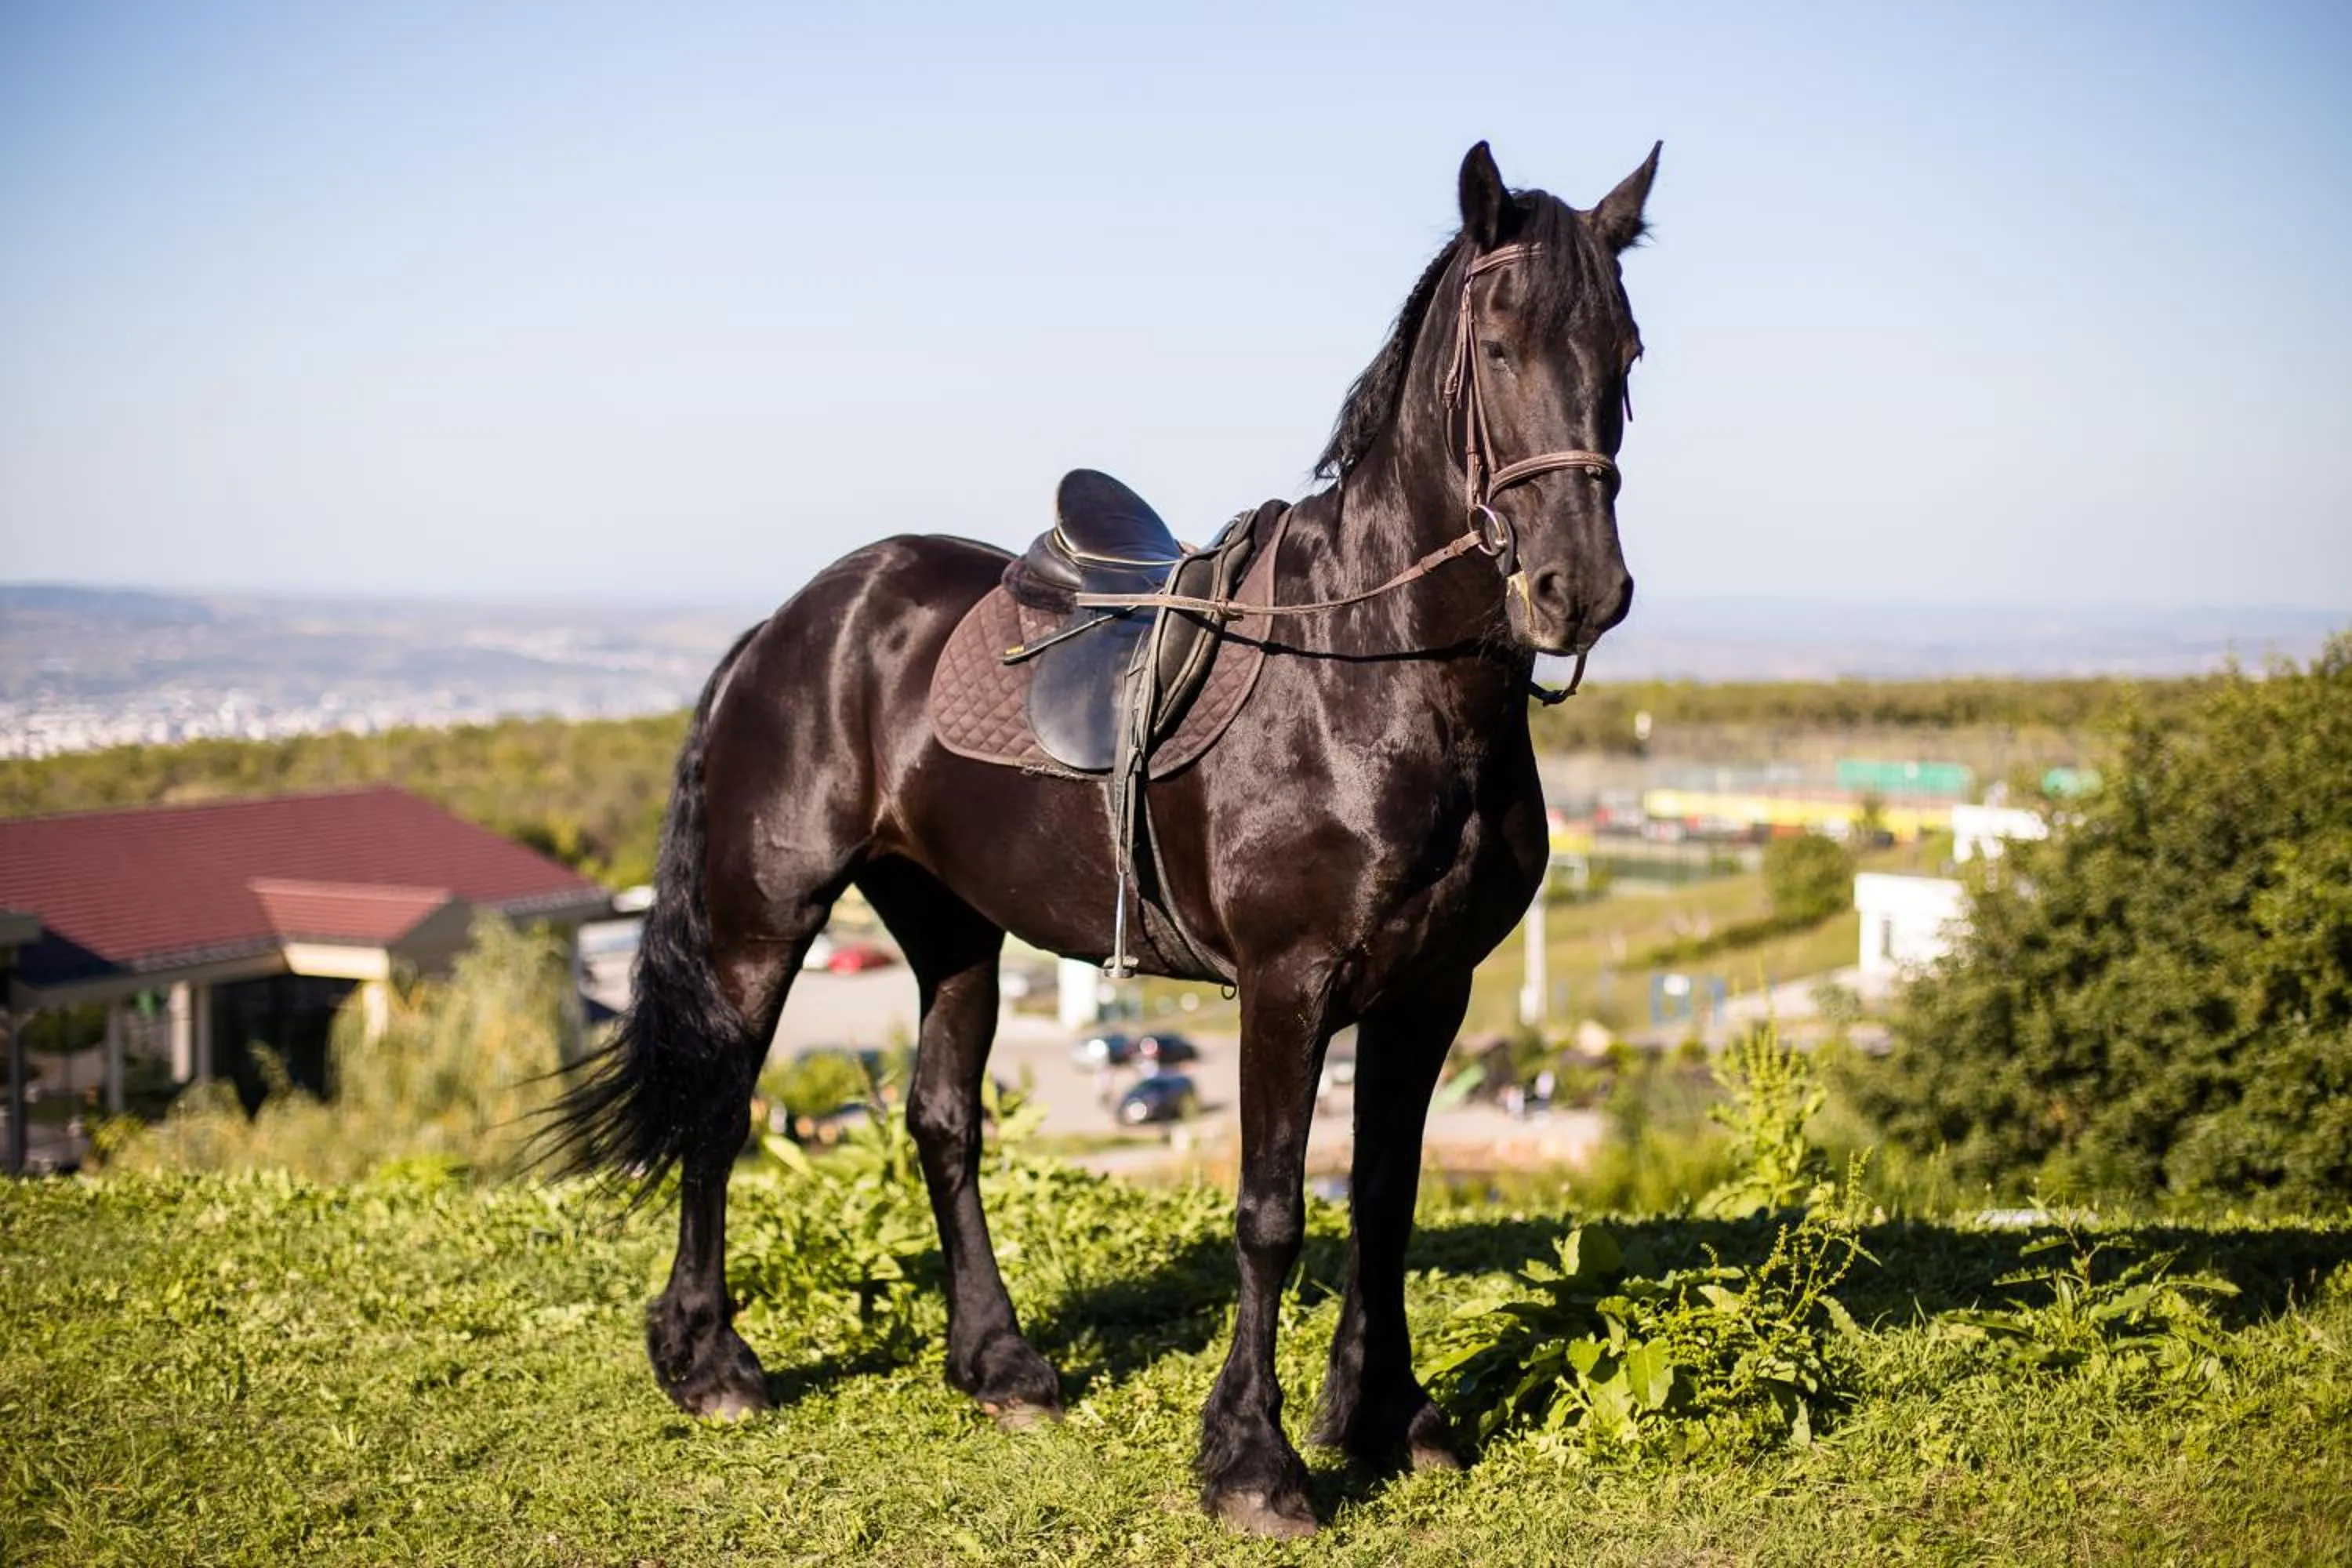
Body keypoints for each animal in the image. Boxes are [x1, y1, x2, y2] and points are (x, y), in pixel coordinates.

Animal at [557, 139, 1659, 1539]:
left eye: (1626, 354)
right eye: (1503, 347)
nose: (1582, 589)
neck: (1371, 676)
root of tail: (794, 623)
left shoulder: (1432, 991)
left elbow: (1389, 1200)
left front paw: (1389, 1417)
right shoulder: (1289, 988)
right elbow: (1271, 1213)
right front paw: (1255, 1464)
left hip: (952, 927)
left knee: (943, 1122)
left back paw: (1001, 1366)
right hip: (766, 921)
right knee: (719, 1102)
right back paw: (709, 1365)